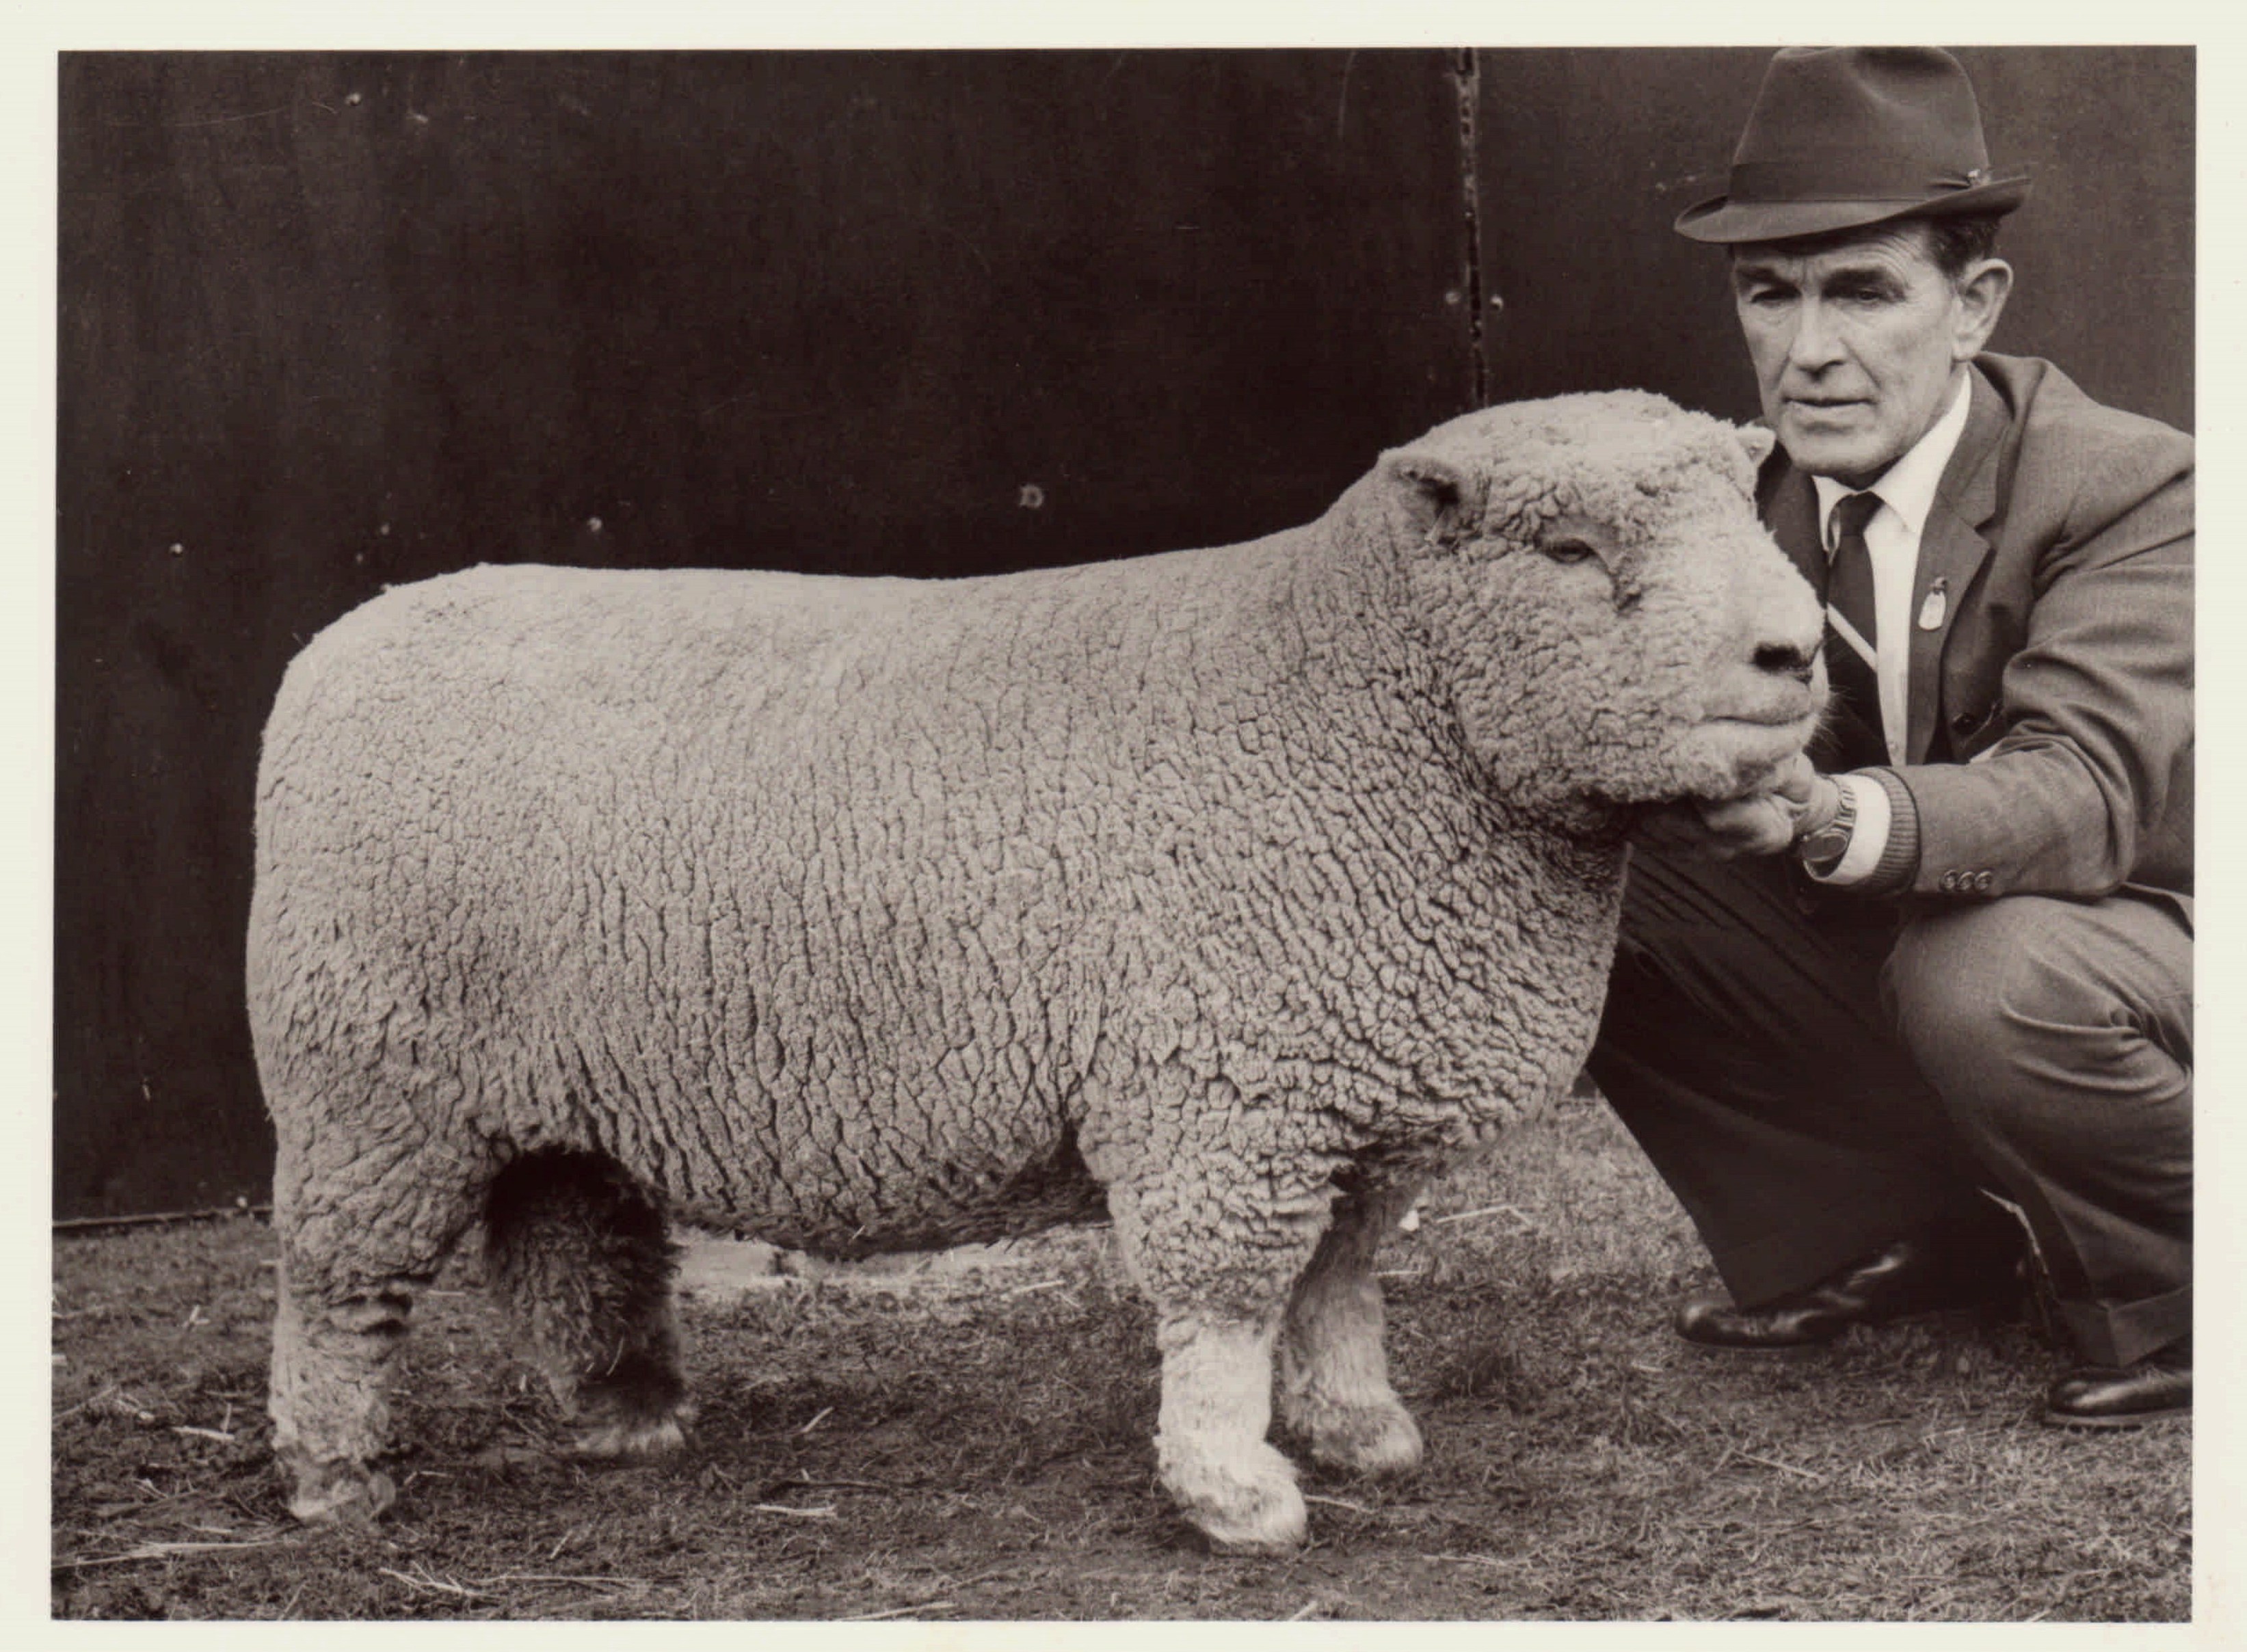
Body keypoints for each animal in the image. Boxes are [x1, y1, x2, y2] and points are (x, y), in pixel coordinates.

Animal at [248, 390, 1824, 1553]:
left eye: (1745, 509)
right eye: (1566, 554)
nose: (1797, 652)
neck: (1365, 712)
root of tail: (346, 638)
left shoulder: (1348, 1098)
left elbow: (1338, 1285)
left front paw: (1358, 1427)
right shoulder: (1223, 1095)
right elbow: (1229, 1304)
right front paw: (1233, 1487)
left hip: (547, 1079)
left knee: (569, 1237)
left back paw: (622, 1419)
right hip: (369, 1087)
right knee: (336, 1289)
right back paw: (336, 1475)